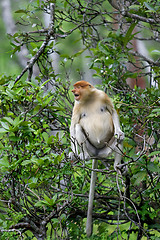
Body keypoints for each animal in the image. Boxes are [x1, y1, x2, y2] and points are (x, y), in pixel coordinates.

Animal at [69, 80, 124, 236]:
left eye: (78, 87)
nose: (73, 91)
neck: (88, 98)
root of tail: (97, 153)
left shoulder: (102, 95)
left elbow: (112, 111)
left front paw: (119, 132)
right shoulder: (77, 106)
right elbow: (73, 126)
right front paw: (73, 153)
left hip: (107, 148)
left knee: (119, 139)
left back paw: (117, 166)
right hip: (90, 147)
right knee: (78, 127)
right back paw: (84, 156)